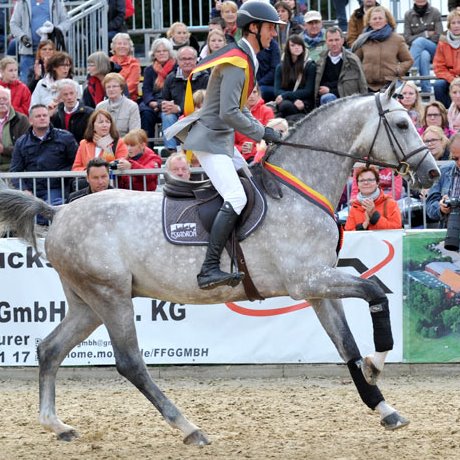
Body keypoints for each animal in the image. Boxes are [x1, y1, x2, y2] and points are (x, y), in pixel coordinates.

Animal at [0, 87, 438, 446]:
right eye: (402, 124)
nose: (432, 172)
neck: (299, 188)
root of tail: (58, 213)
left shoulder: (318, 289)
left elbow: (346, 344)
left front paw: (384, 407)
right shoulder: (309, 281)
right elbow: (375, 291)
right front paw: (377, 364)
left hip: (87, 303)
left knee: (50, 349)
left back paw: (56, 425)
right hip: (110, 296)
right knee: (129, 363)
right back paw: (188, 428)